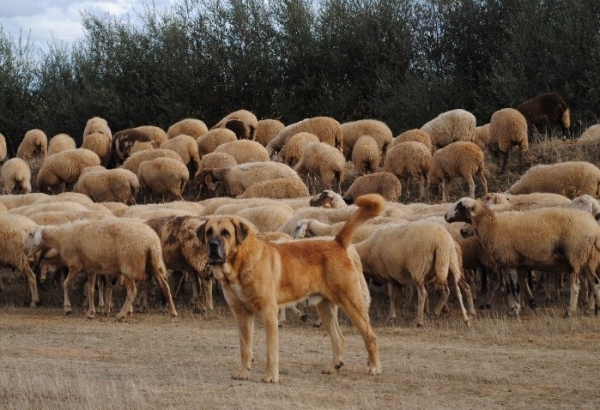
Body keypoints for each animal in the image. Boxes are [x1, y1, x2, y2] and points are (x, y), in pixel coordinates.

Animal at [24, 221, 178, 320]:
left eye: (31, 234)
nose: (24, 252)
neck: (62, 237)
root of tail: (151, 242)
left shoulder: (75, 266)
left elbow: (66, 284)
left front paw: (67, 308)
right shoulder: (91, 268)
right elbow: (91, 290)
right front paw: (91, 312)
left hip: (129, 265)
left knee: (132, 291)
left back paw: (121, 315)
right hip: (154, 264)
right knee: (165, 287)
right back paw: (173, 313)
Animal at [198, 194, 384, 382]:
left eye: (226, 233)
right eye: (209, 232)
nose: (212, 245)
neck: (240, 263)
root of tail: (337, 243)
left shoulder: (268, 312)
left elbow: (271, 351)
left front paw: (270, 377)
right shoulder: (241, 313)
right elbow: (245, 348)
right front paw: (244, 373)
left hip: (351, 303)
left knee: (370, 336)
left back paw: (375, 367)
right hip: (325, 307)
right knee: (339, 338)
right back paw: (334, 367)